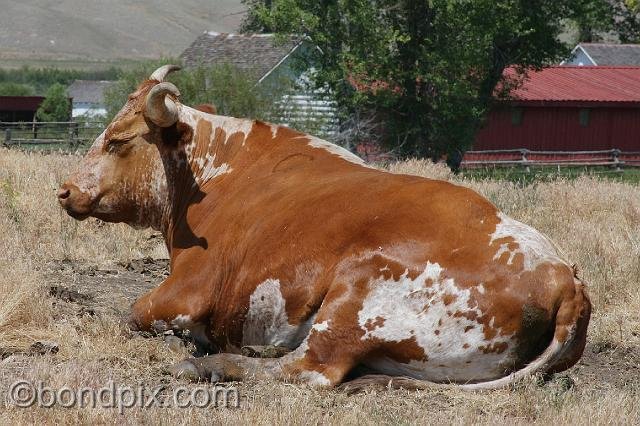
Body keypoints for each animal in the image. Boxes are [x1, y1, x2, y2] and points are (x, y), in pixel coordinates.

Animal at [57, 64, 592, 390]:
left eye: (118, 141)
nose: (65, 190)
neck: (214, 172)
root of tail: (561, 276)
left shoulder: (189, 288)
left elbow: (133, 312)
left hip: (355, 294)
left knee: (310, 368)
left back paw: (210, 363)